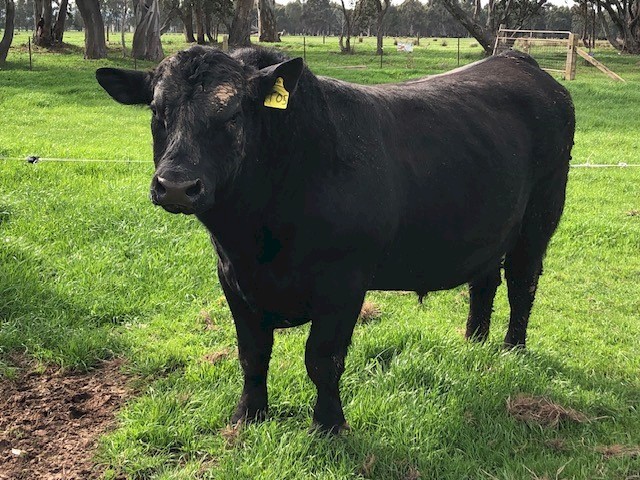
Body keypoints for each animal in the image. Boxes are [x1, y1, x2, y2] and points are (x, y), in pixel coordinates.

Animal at [96, 46, 575, 434]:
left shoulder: (344, 282)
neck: (255, 239)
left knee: (522, 282)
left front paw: (328, 425)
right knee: (484, 282)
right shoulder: (231, 277)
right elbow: (252, 354)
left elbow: (322, 360)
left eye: (232, 116)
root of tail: (519, 61)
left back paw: (512, 350)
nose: (176, 185)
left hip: (540, 216)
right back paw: (473, 343)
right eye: (157, 112)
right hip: (488, 227)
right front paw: (248, 415)